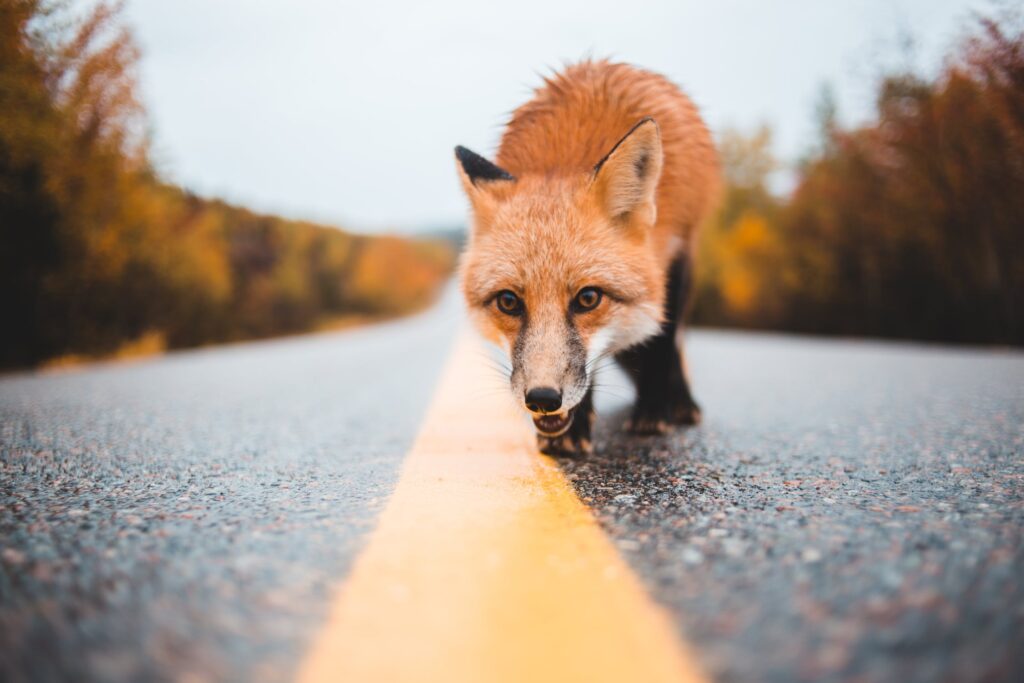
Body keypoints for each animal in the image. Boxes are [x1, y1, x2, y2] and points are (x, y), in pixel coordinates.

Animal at [452, 58, 716, 454]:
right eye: (509, 302)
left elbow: (661, 343)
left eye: (588, 298)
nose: (542, 399)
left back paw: (679, 404)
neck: (563, 158)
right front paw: (573, 431)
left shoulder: (674, 256)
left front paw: (653, 413)